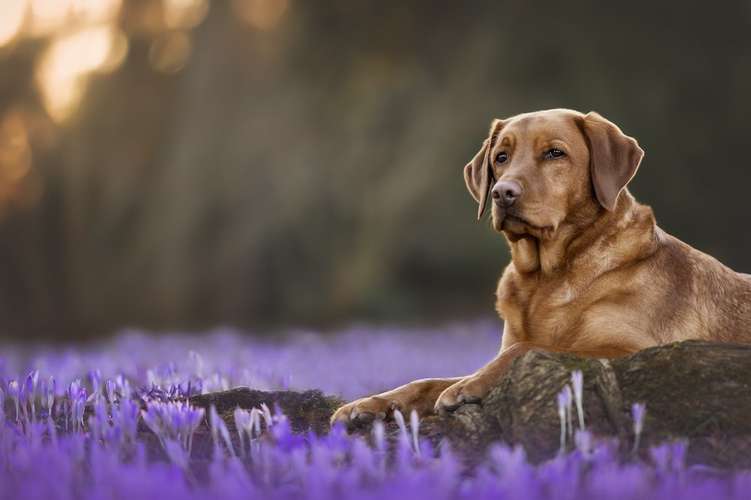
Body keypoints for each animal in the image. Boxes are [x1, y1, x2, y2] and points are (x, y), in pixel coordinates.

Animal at [332, 106, 751, 426]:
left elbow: (530, 348)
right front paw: (369, 404)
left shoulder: (633, 349)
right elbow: (426, 381)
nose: (502, 193)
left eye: (555, 154)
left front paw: (466, 388)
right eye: (501, 158)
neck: (546, 278)